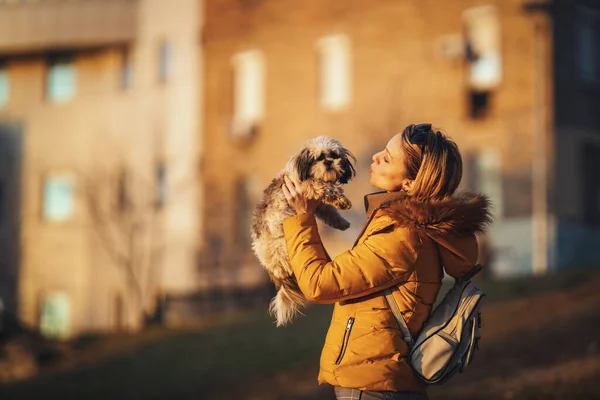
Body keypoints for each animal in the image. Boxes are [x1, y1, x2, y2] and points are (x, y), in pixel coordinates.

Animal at [250, 136, 354, 326]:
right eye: (319, 158)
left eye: (334, 155)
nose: (329, 162)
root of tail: (272, 269)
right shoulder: (307, 185)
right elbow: (321, 186)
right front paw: (340, 198)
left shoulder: (318, 205)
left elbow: (330, 212)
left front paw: (342, 222)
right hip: (284, 247)